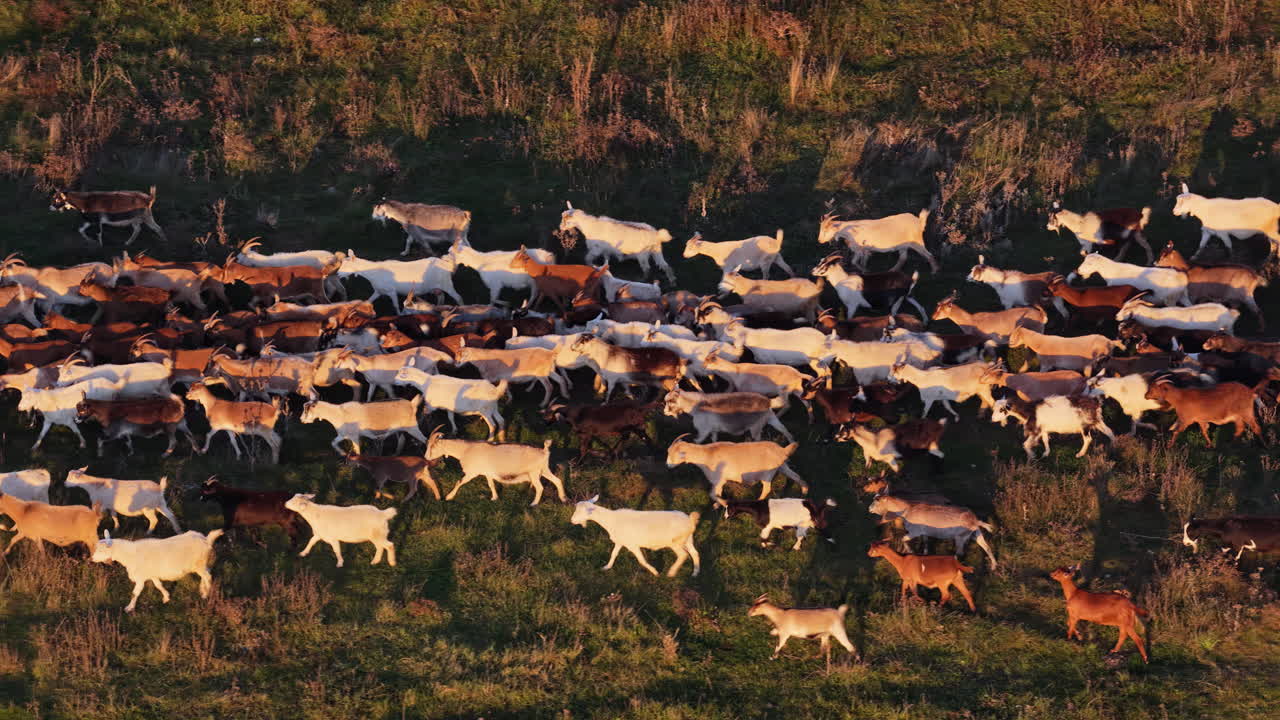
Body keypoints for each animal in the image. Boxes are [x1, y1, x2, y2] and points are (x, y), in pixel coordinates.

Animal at [570, 495, 700, 577]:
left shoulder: (632, 545)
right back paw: (695, 573)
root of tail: (690, 520)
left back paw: (671, 573)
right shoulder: (620, 541)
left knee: (683, 555)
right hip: (688, 539)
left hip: (675, 542)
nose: (572, 521)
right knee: (695, 553)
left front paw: (655, 572)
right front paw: (606, 567)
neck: (611, 520)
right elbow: (613, 554)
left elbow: (641, 560)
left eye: (581, 512)